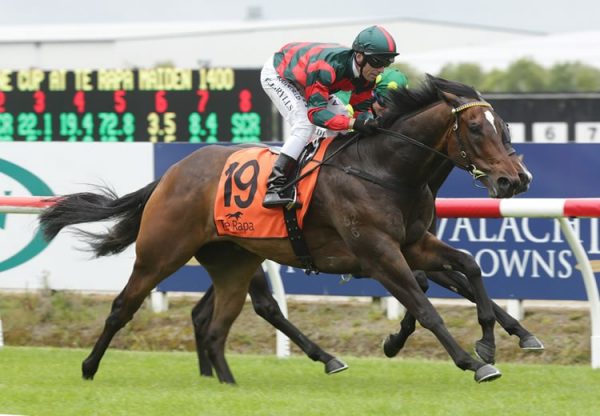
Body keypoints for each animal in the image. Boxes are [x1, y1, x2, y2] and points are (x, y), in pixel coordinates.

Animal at [39, 75, 524, 384]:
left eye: (504, 127)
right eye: (476, 128)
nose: (515, 180)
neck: (384, 169)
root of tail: (172, 173)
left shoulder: (413, 244)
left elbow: (469, 268)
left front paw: (492, 342)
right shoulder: (378, 253)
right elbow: (424, 305)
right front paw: (470, 361)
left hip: (234, 260)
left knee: (218, 321)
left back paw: (232, 380)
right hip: (162, 251)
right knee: (125, 305)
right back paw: (88, 368)